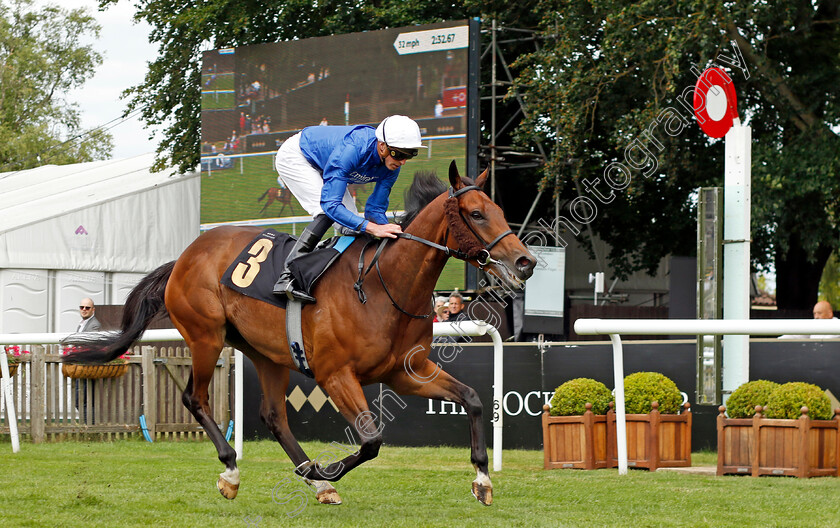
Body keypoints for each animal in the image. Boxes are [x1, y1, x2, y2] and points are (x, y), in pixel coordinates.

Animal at [67, 162, 540, 508]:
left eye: (500, 211)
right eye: (476, 213)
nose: (526, 262)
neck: (383, 286)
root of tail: (185, 256)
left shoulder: (407, 371)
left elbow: (473, 398)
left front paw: (482, 479)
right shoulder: (335, 374)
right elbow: (371, 441)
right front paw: (328, 470)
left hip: (267, 354)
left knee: (274, 416)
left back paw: (312, 478)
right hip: (205, 335)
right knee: (194, 398)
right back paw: (234, 471)